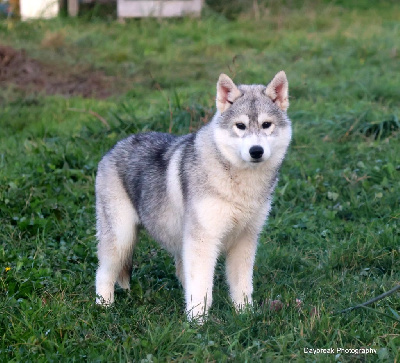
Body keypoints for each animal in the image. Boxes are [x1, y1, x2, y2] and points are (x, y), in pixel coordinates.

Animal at [95, 71, 292, 322]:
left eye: (267, 125)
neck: (237, 181)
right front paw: (197, 323)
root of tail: (113, 148)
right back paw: (104, 308)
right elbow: (201, 288)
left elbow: (242, 286)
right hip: (121, 238)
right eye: (240, 126)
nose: (256, 151)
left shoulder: (244, 240)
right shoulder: (203, 241)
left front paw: (245, 314)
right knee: (102, 273)